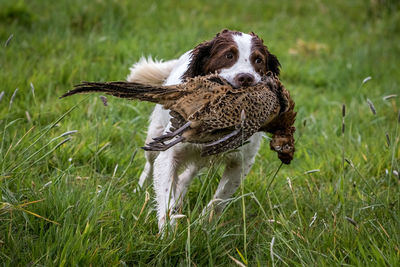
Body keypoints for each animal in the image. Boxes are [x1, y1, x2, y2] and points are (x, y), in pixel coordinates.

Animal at [128, 28, 282, 230]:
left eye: (258, 60)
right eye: (228, 55)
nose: (246, 78)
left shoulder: (241, 162)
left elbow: (218, 200)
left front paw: (203, 226)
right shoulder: (169, 153)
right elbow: (166, 193)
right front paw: (168, 231)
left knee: (186, 176)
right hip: (155, 136)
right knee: (150, 165)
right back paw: (140, 191)